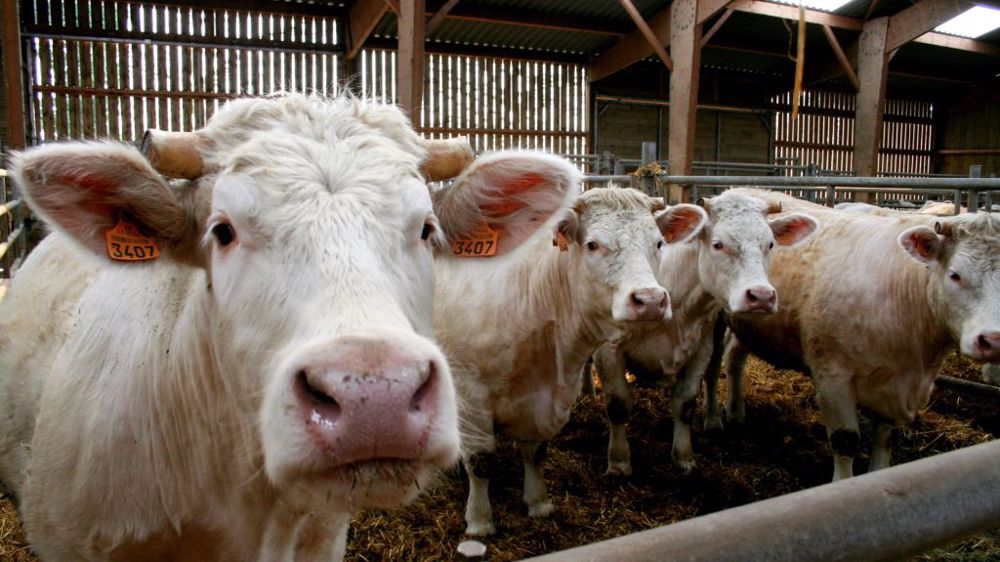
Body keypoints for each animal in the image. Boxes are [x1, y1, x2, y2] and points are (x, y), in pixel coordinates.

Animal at [434, 187, 709, 536]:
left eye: (659, 242)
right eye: (592, 244)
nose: (650, 300)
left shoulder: (547, 397)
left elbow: (536, 451)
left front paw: (539, 503)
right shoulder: (471, 392)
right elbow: (481, 461)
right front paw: (480, 521)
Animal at [593, 190, 818, 476]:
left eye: (770, 245)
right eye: (718, 244)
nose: (762, 296)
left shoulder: (701, 346)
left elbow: (686, 403)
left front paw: (684, 457)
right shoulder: (608, 350)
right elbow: (618, 405)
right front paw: (619, 462)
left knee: (714, 372)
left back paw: (713, 419)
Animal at [716, 188, 1000, 481]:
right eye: (955, 275)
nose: (993, 340)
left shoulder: (894, 385)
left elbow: (885, 439)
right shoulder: (833, 376)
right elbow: (845, 441)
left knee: (735, 357)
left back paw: (736, 413)